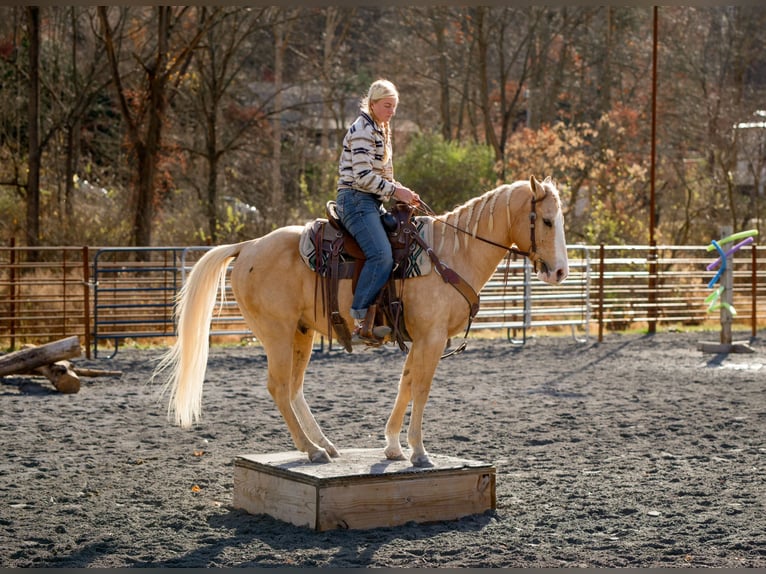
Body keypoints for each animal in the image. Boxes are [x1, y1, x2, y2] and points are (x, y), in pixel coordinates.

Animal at [155, 175, 569, 467]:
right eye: (547, 221)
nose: (561, 271)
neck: (450, 254)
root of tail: (248, 247)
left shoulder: (419, 339)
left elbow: (405, 386)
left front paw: (392, 447)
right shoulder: (432, 338)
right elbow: (421, 389)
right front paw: (419, 451)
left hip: (301, 334)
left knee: (294, 389)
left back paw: (324, 445)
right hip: (276, 333)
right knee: (278, 387)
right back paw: (311, 450)